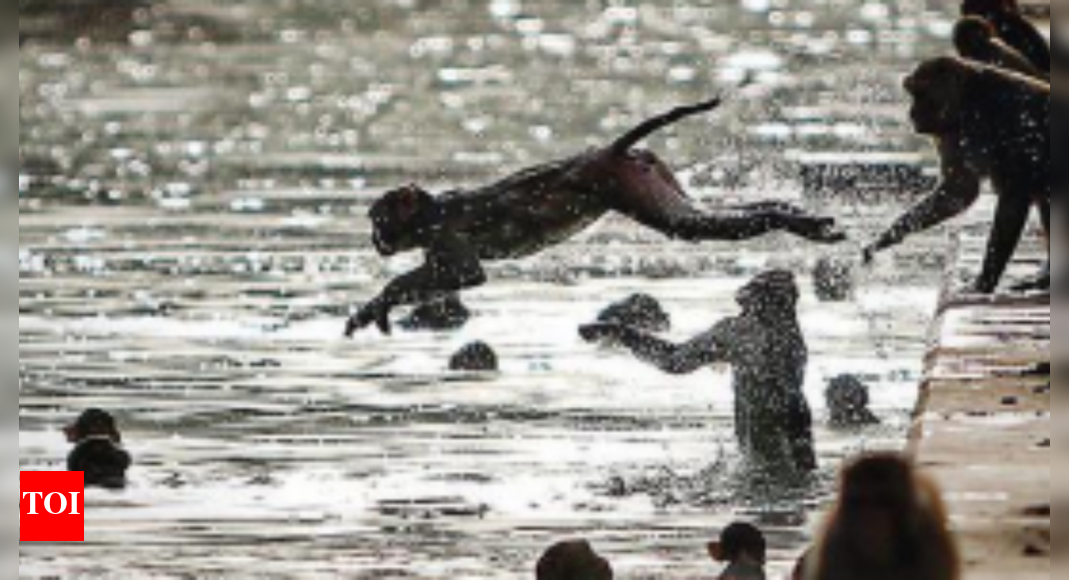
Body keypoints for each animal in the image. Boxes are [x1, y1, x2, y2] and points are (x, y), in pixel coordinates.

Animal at [347, 99, 847, 336]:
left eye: (378, 221)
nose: (373, 239)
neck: (433, 210)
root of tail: (610, 151)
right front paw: (374, 306)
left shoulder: (446, 238)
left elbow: (463, 276)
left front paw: (383, 299)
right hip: (650, 180)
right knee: (702, 218)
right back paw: (796, 216)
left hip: (626, 187)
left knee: (692, 225)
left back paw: (791, 221)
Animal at [580, 270, 818, 473]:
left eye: (755, 284)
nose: (741, 291)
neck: (769, 322)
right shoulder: (730, 330)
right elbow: (676, 358)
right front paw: (609, 327)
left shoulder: (736, 329)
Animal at [863, 57, 1049, 295]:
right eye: (913, 94)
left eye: (921, 94)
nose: (911, 112)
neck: (970, 104)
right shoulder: (950, 132)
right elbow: (959, 191)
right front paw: (891, 235)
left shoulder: (1012, 119)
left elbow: (1014, 195)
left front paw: (986, 281)